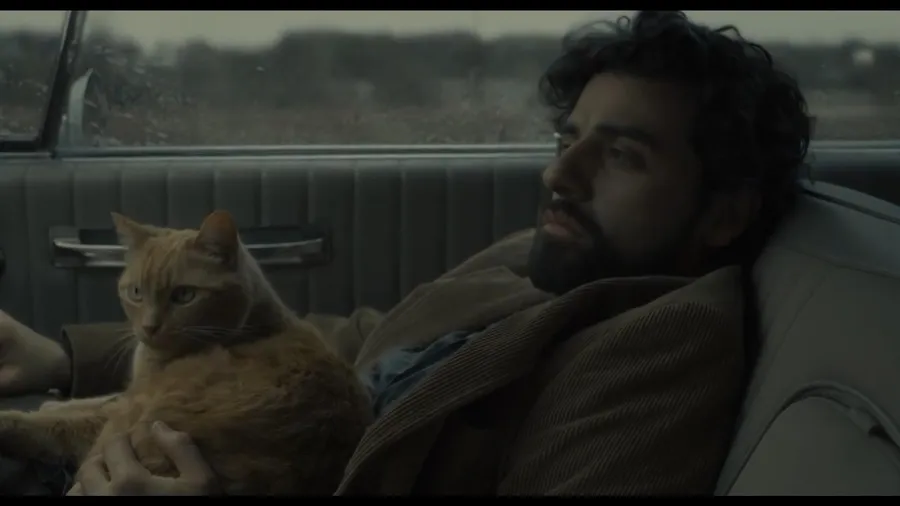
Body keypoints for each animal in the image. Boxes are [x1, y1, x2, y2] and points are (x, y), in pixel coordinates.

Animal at [0, 210, 373, 495]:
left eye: (184, 296)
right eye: (136, 292)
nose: (149, 327)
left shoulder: (124, 412)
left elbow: (64, 423)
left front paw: (24, 416)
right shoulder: (130, 390)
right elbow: (98, 400)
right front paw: (55, 402)